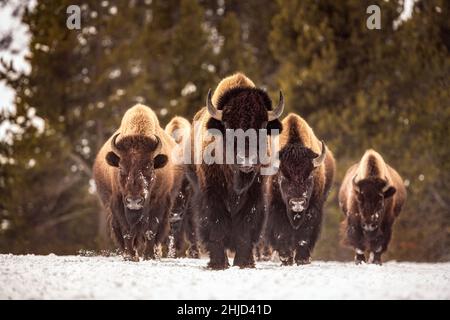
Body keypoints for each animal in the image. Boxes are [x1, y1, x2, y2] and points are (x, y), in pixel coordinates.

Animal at [92, 104, 178, 260]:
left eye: (149, 166)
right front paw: (131, 256)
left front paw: (149, 255)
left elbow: (151, 229)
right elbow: (127, 230)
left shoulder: (160, 201)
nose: (134, 201)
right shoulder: (118, 202)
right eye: (121, 167)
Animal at [264, 114, 334, 266]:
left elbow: (305, 233)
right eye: (283, 176)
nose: (297, 203)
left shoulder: (313, 207)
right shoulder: (277, 206)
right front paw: (286, 258)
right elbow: (281, 231)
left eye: (310, 176)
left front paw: (302, 259)